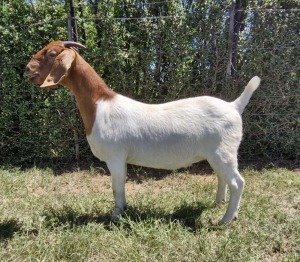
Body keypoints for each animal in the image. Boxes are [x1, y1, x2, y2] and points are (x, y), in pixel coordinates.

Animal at [25, 40, 260, 223]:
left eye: (51, 53)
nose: (27, 69)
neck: (100, 104)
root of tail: (234, 106)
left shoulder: (115, 157)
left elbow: (117, 186)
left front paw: (116, 216)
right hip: (216, 154)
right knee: (222, 177)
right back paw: (218, 203)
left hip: (223, 151)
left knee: (238, 182)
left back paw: (226, 219)